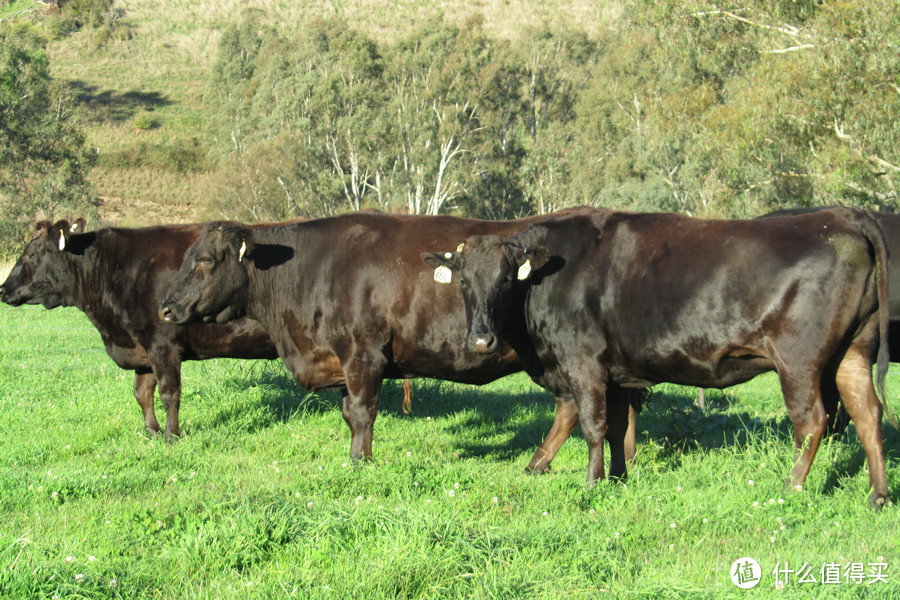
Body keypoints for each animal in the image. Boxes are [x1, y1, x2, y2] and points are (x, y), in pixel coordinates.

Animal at [0, 220, 278, 440]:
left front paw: (171, 435)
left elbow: (169, 393)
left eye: (29, 255)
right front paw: (152, 431)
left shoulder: (162, 346)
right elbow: (142, 393)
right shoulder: (143, 350)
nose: (3, 289)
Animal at [158, 211, 644, 474]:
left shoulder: (363, 355)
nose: (165, 308)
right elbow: (350, 413)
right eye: (186, 256)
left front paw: (360, 462)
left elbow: (360, 414)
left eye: (205, 259)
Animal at [428, 209, 892, 508]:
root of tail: (843, 217)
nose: (481, 339)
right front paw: (618, 479)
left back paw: (791, 488)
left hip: (798, 360)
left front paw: (593, 483)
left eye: (507, 279)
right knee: (868, 413)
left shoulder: (584, 363)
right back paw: (878, 494)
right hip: (853, 352)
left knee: (811, 421)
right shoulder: (615, 374)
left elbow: (594, 426)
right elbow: (617, 429)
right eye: (463, 281)